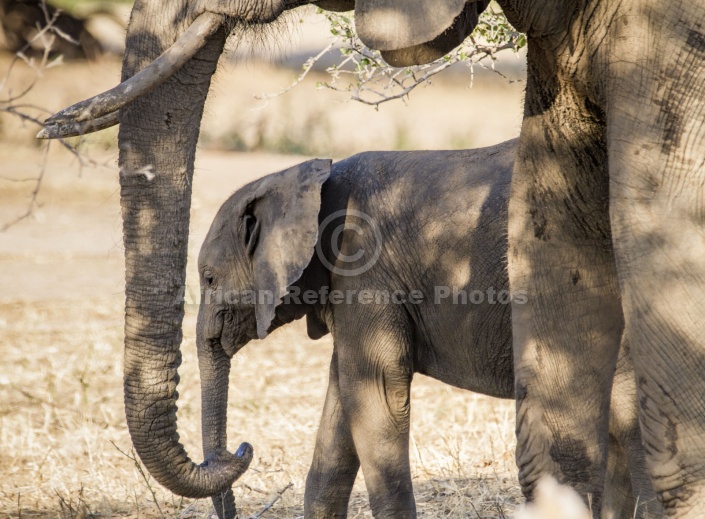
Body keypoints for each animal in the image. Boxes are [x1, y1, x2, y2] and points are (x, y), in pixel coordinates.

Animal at [198, 140, 660, 516]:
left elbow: (378, 388)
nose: (242, 448)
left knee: (628, 418)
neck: (303, 179)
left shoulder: (365, 272)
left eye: (207, 278)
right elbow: (343, 400)